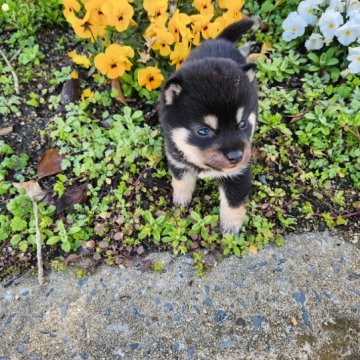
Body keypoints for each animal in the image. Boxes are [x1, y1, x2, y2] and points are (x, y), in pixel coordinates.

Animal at [159, 18, 258, 235]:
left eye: (242, 123)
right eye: (203, 131)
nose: (236, 156)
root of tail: (220, 40)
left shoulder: (239, 173)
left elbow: (233, 203)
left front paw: (230, 229)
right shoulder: (176, 156)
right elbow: (181, 180)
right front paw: (181, 199)